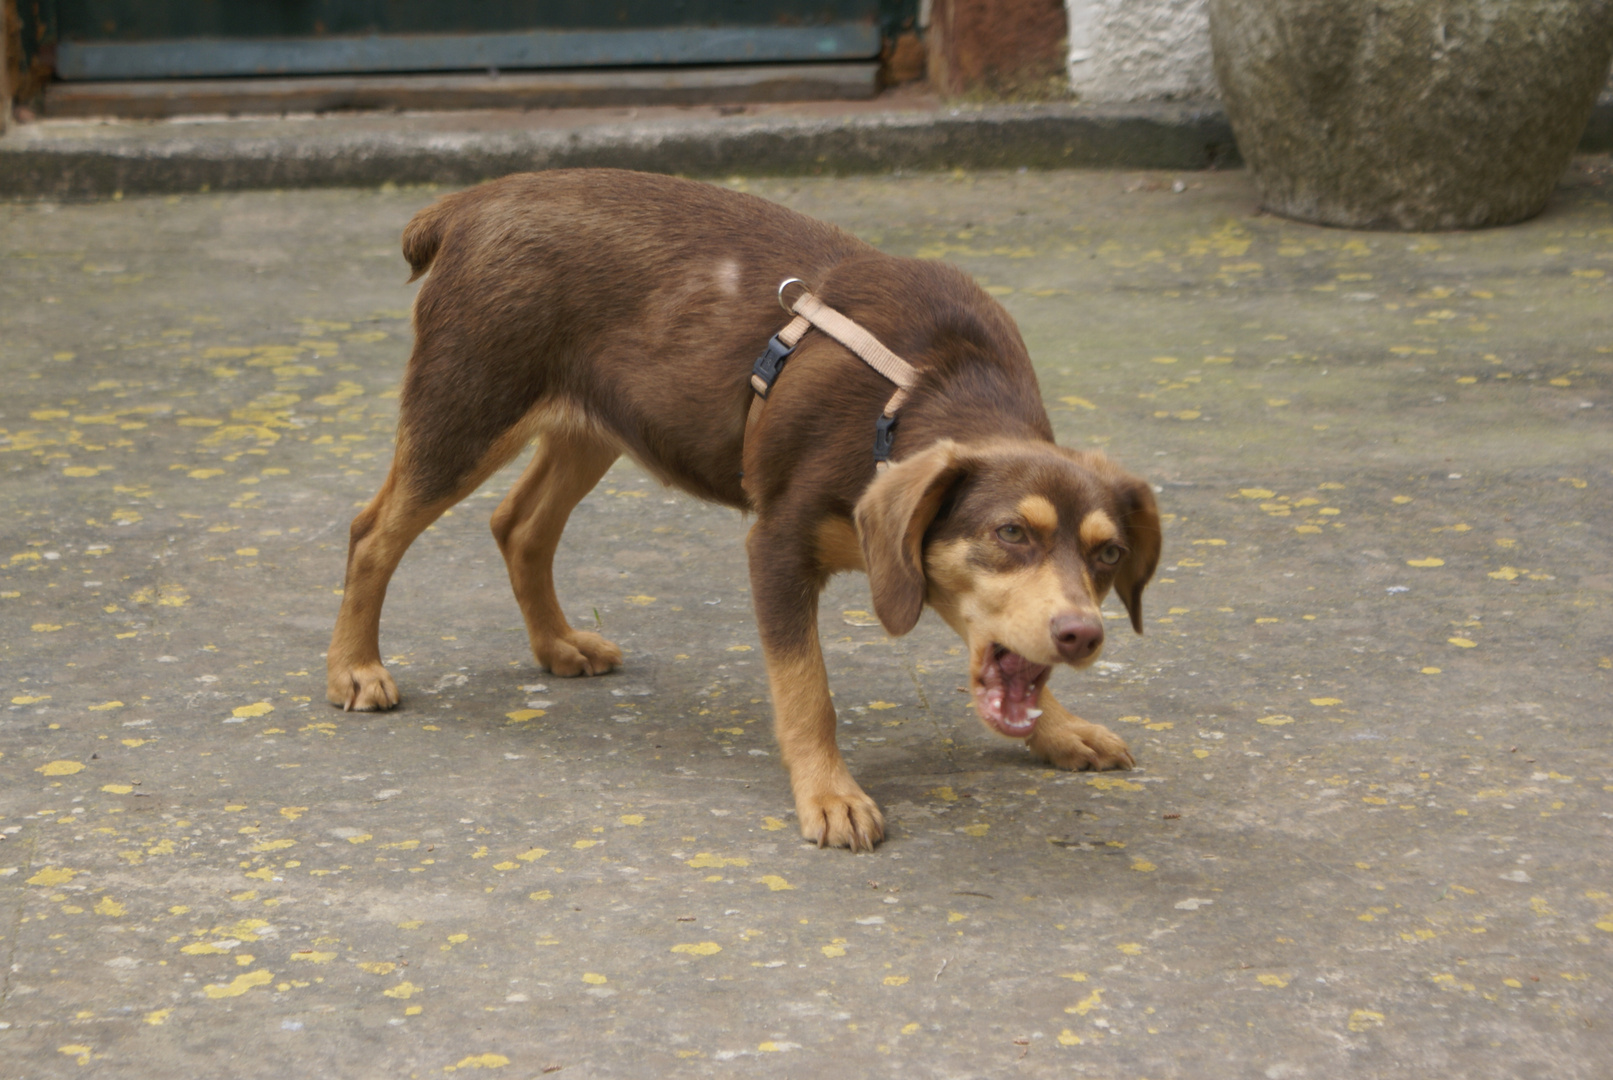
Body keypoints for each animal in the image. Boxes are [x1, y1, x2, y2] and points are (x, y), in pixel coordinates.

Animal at [330, 171, 1161, 857]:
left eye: (1108, 555)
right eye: (1009, 533)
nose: (1082, 635)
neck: (923, 388)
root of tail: (465, 205)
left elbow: (1017, 671)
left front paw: (1059, 732)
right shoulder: (778, 544)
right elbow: (806, 690)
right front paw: (830, 795)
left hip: (597, 424)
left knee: (519, 525)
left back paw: (557, 644)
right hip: (465, 410)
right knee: (373, 532)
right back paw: (355, 669)